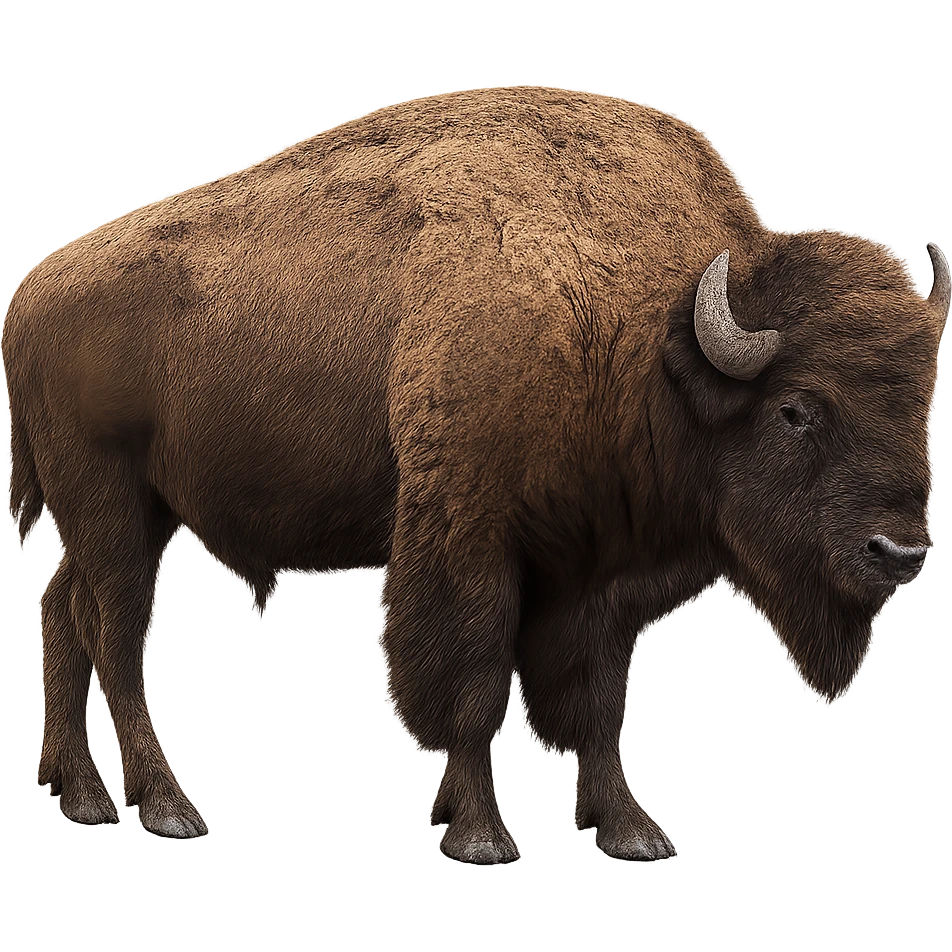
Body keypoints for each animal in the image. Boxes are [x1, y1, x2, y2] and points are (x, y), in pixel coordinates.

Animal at [4, 86, 947, 862]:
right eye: (797, 410)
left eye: (923, 403)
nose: (898, 552)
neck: (644, 335)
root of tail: (33, 290)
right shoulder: (468, 537)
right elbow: (470, 679)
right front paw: (482, 835)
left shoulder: (598, 572)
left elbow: (594, 700)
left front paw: (629, 830)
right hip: (112, 505)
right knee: (117, 635)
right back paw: (167, 808)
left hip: (127, 513)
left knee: (60, 611)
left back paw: (81, 797)